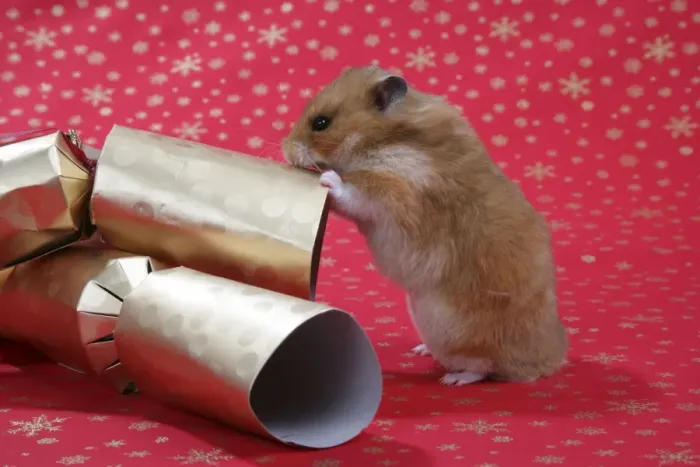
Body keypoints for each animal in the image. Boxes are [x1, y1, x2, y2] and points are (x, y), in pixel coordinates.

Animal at [282, 66, 568, 385]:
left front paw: (329, 179)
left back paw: (453, 379)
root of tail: (548, 363)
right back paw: (421, 350)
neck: (385, 139)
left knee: (483, 367)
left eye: (321, 122)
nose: (284, 150)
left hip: (462, 334)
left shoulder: (395, 190)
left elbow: (353, 194)